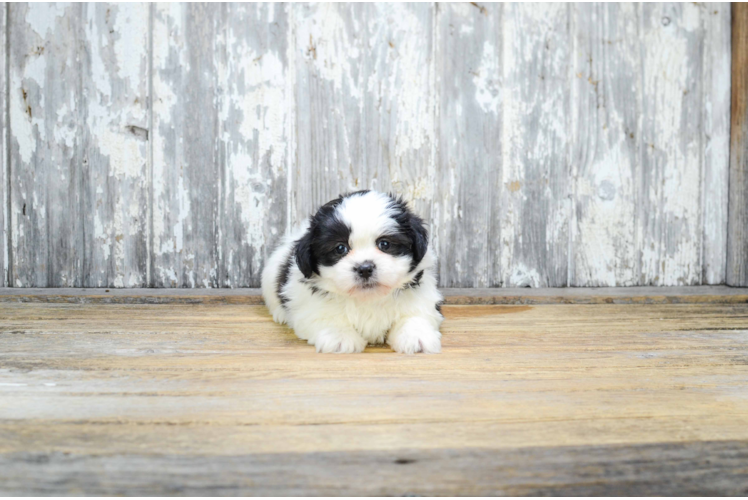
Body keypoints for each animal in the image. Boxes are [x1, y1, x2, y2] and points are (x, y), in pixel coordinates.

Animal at [262, 189, 444, 354]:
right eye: (340, 248)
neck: (367, 299)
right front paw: (340, 338)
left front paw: (416, 336)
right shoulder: (309, 307)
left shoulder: (422, 300)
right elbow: (326, 317)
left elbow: (415, 316)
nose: (365, 268)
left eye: (384, 244)